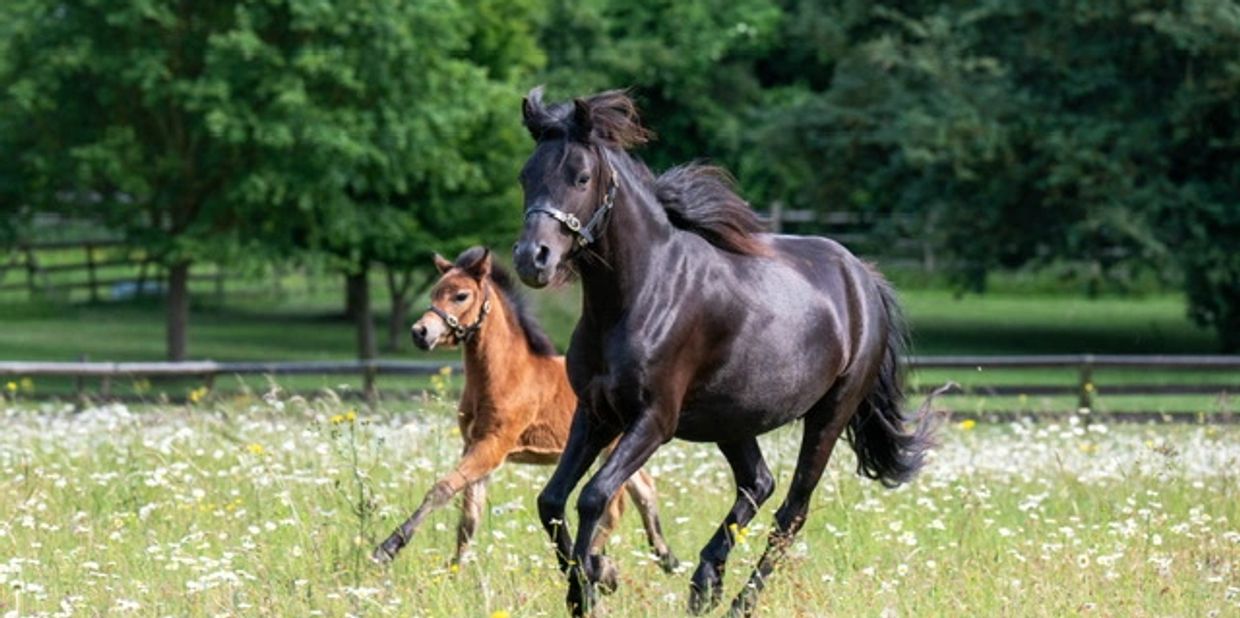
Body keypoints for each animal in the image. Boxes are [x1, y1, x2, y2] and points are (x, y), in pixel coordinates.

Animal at [371, 247, 679, 584]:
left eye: (461, 295)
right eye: (434, 293)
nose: (420, 333)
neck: (507, 373)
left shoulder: (493, 446)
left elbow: (442, 488)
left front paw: (387, 548)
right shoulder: (473, 445)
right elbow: (469, 517)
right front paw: (454, 573)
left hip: (613, 445)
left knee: (616, 507)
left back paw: (595, 565)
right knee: (644, 491)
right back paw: (664, 559)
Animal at [511, 88, 941, 617]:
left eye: (581, 177)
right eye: (526, 175)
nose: (533, 259)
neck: (638, 296)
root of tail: (862, 276)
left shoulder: (653, 421)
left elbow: (593, 495)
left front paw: (595, 578)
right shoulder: (595, 414)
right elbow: (551, 499)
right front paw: (586, 587)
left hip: (829, 414)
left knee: (791, 512)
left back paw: (738, 601)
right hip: (734, 418)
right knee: (758, 483)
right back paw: (705, 583)